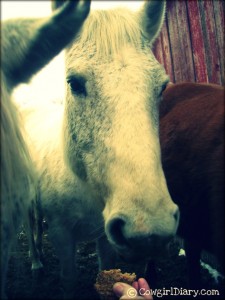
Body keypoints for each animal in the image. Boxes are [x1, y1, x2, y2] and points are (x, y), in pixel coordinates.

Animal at [23, 0, 179, 296]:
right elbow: (68, 279)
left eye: (163, 87)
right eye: (74, 83)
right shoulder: (61, 234)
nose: (149, 233)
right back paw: (35, 263)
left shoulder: (106, 238)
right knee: (31, 223)